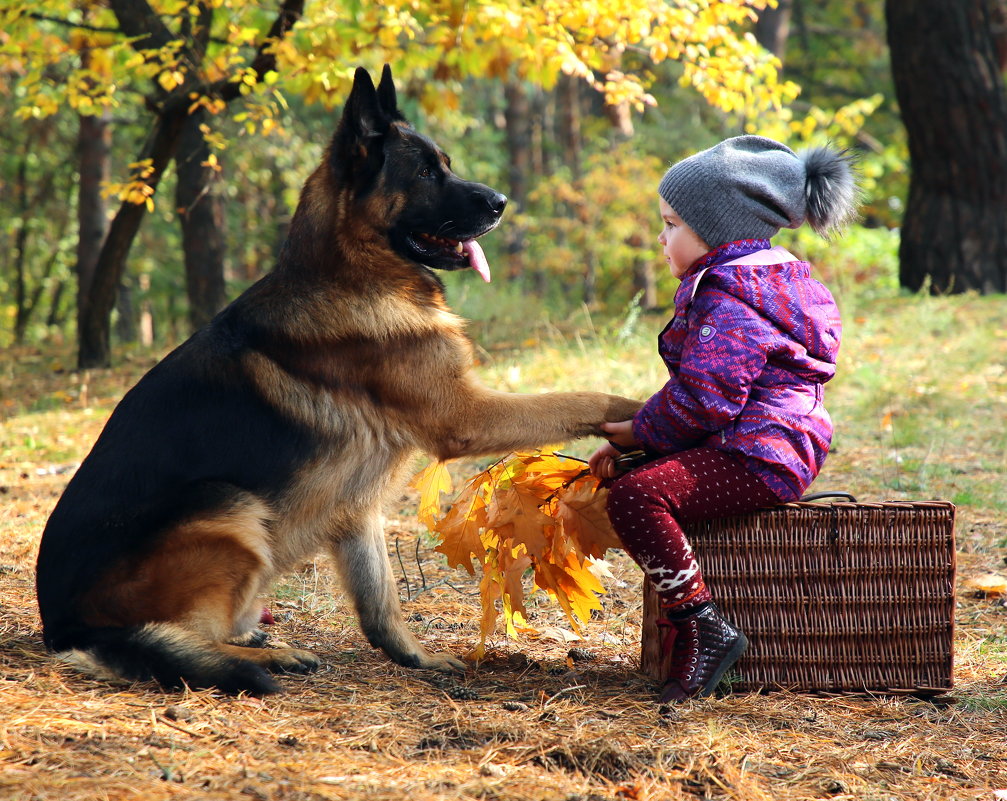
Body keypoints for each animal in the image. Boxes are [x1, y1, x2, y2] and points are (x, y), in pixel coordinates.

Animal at [35, 67, 640, 697]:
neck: (354, 271)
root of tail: (66, 627)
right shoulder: (466, 417)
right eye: (427, 173)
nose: (501, 202)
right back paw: (265, 655)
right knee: (181, 636)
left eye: (446, 164)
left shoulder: (357, 508)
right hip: (228, 507)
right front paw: (643, 402)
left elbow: (380, 600)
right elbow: (577, 399)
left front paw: (414, 658)